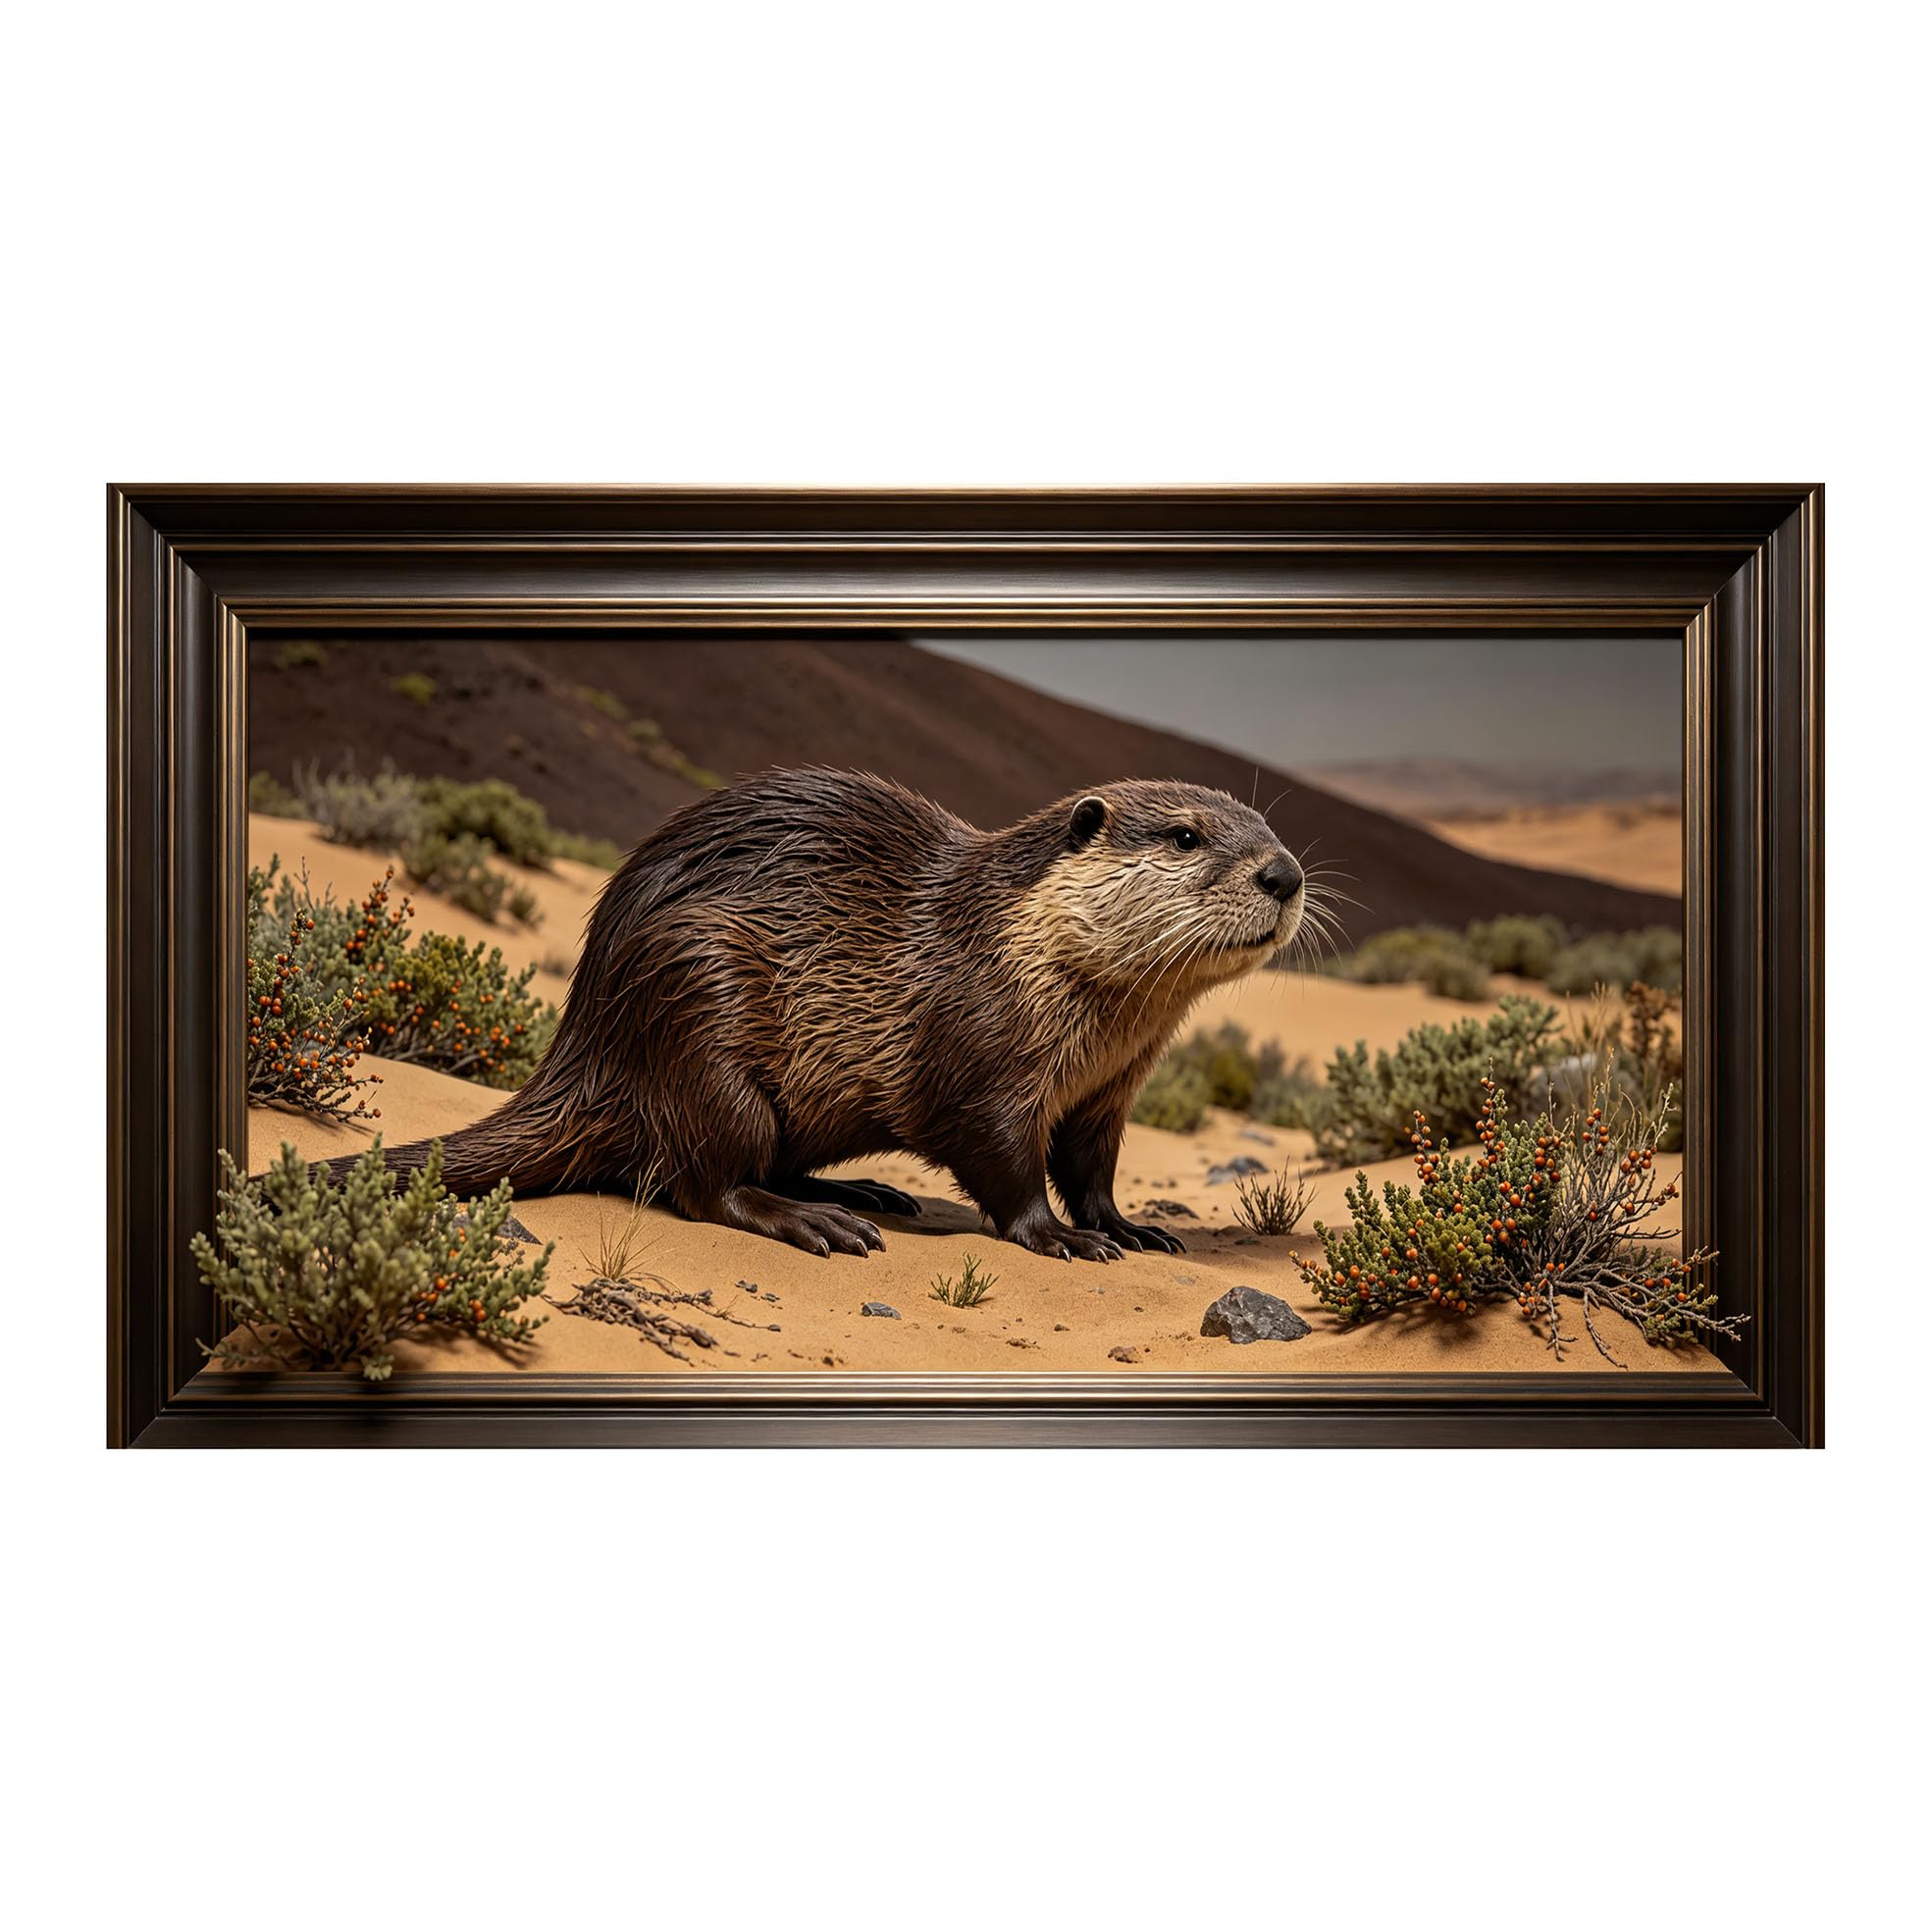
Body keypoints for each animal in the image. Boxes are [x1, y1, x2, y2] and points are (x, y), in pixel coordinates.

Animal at [346, 770, 1307, 1261]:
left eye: (1266, 828)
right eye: (1185, 836)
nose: (1284, 872)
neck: (1012, 943)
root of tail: (580, 1047)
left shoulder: (1109, 1088)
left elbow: (1091, 1167)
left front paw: (1127, 1226)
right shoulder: (978, 1051)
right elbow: (1001, 1160)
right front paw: (1057, 1237)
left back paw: (859, 1190)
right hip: (694, 996)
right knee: (703, 1182)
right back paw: (819, 1221)